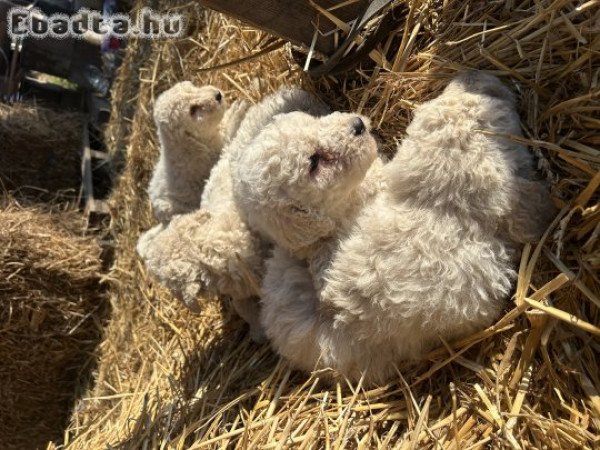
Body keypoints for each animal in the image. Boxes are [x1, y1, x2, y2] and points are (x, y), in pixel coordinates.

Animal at [148, 81, 248, 223]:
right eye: (193, 110)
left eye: (193, 87)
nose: (218, 95)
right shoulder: (216, 151)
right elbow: (229, 132)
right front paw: (238, 110)